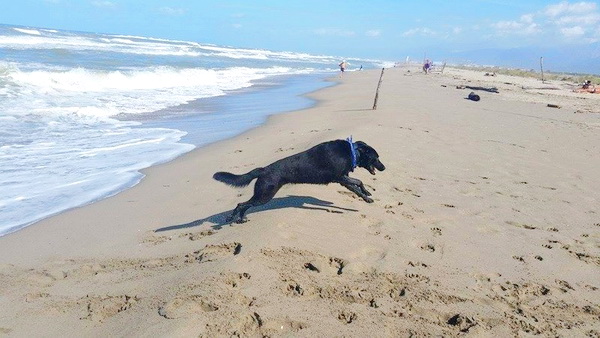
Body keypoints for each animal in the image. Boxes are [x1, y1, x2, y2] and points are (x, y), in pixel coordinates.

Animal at [213, 139, 386, 223]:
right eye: (376, 158)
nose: (384, 168)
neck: (352, 151)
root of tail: (263, 170)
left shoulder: (343, 180)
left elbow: (357, 186)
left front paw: (367, 196)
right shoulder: (340, 177)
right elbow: (358, 181)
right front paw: (367, 193)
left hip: (262, 195)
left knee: (245, 205)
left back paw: (241, 219)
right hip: (264, 195)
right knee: (241, 204)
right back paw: (233, 218)